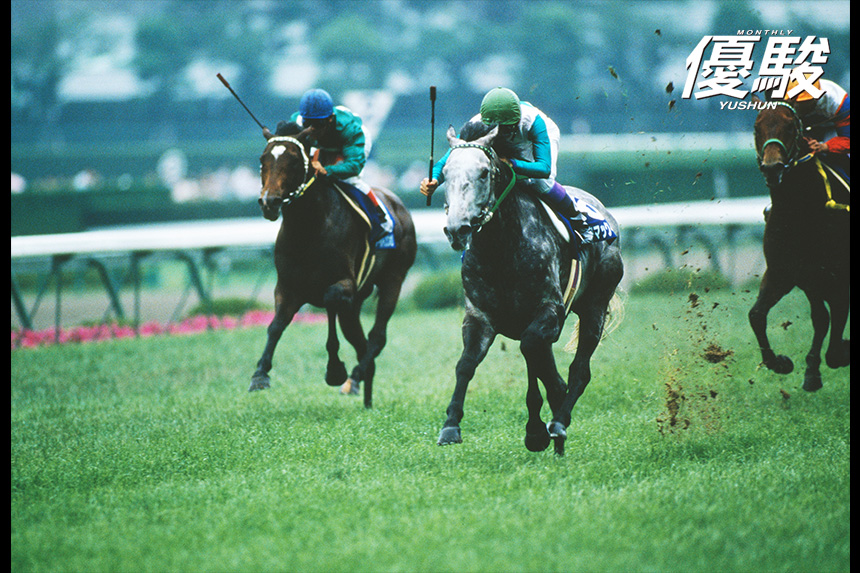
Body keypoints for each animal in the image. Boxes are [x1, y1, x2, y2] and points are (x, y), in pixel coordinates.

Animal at [251, 127, 416, 408]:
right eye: (263, 160)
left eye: (293, 161)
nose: (269, 202)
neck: (308, 228)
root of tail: (398, 203)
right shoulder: (287, 287)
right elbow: (276, 326)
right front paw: (260, 375)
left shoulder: (343, 284)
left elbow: (329, 302)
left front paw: (335, 369)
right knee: (359, 341)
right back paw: (365, 394)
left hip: (394, 280)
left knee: (376, 336)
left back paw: (355, 377)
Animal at [436, 123, 624, 455]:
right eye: (445, 173)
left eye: (484, 172)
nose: (457, 229)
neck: (500, 250)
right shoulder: (479, 316)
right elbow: (466, 364)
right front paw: (451, 426)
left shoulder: (549, 310)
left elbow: (532, 351)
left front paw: (544, 425)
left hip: (595, 305)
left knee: (579, 369)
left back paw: (559, 423)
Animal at [750, 100, 850, 391]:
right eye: (757, 126)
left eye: (791, 126)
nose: (772, 168)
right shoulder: (786, 273)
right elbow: (757, 315)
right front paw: (782, 363)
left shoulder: (838, 275)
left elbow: (836, 316)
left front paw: (839, 354)